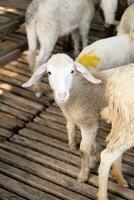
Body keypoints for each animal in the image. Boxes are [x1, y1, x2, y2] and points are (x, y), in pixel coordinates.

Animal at [22, 52, 107, 183]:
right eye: (49, 72)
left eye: (72, 71)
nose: (62, 95)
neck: (78, 92)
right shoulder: (88, 119)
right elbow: (86, 138)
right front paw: (92, 158)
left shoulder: (88, 122)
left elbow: (83, 150)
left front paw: (83, 176)